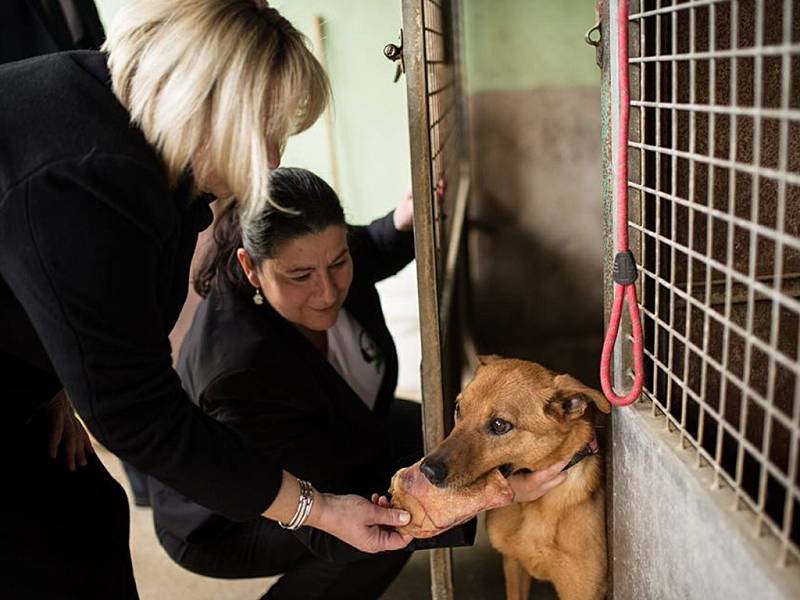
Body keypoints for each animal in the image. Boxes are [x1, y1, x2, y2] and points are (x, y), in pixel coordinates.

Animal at [416, 358, 608, 596]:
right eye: (459, 408)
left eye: (499, 425)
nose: (428, 470)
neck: (536, 508)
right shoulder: (513, 566)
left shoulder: (581, 590)